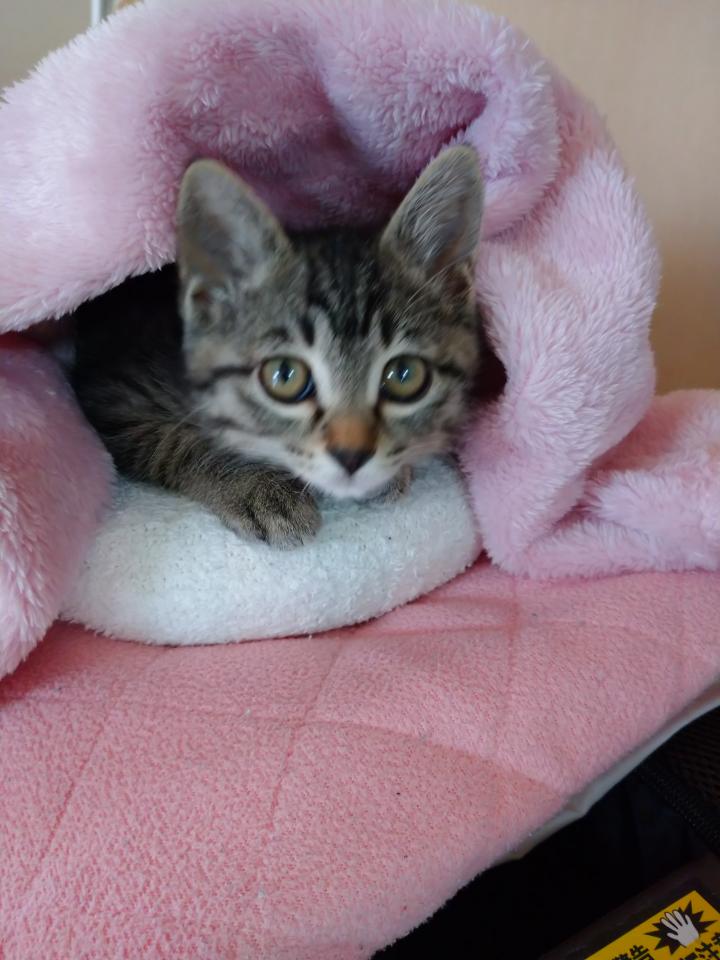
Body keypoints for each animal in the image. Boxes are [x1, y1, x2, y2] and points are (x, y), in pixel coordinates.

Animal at [72, 146, 488, 547]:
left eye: (404, 375)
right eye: (285, 376)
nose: (352, 456)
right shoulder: (112, 393)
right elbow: (177, 440)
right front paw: (257, 487)